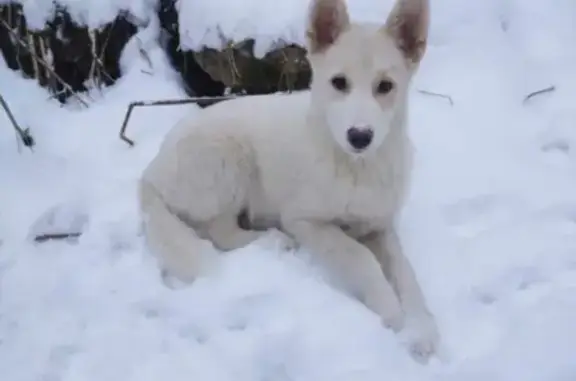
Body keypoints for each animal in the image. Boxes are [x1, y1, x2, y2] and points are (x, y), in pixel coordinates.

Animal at [140, 0, 440, 362]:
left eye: (385, 86)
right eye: (339, 82)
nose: (359, 136)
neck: (355, 167)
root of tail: (151, 173)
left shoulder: (380, 226)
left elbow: (406, 273)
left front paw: (422, 328)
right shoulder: (306, 221)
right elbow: (360, 256)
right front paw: (391, 312)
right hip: (228, 161)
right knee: (220, 232)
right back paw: (272, 241)